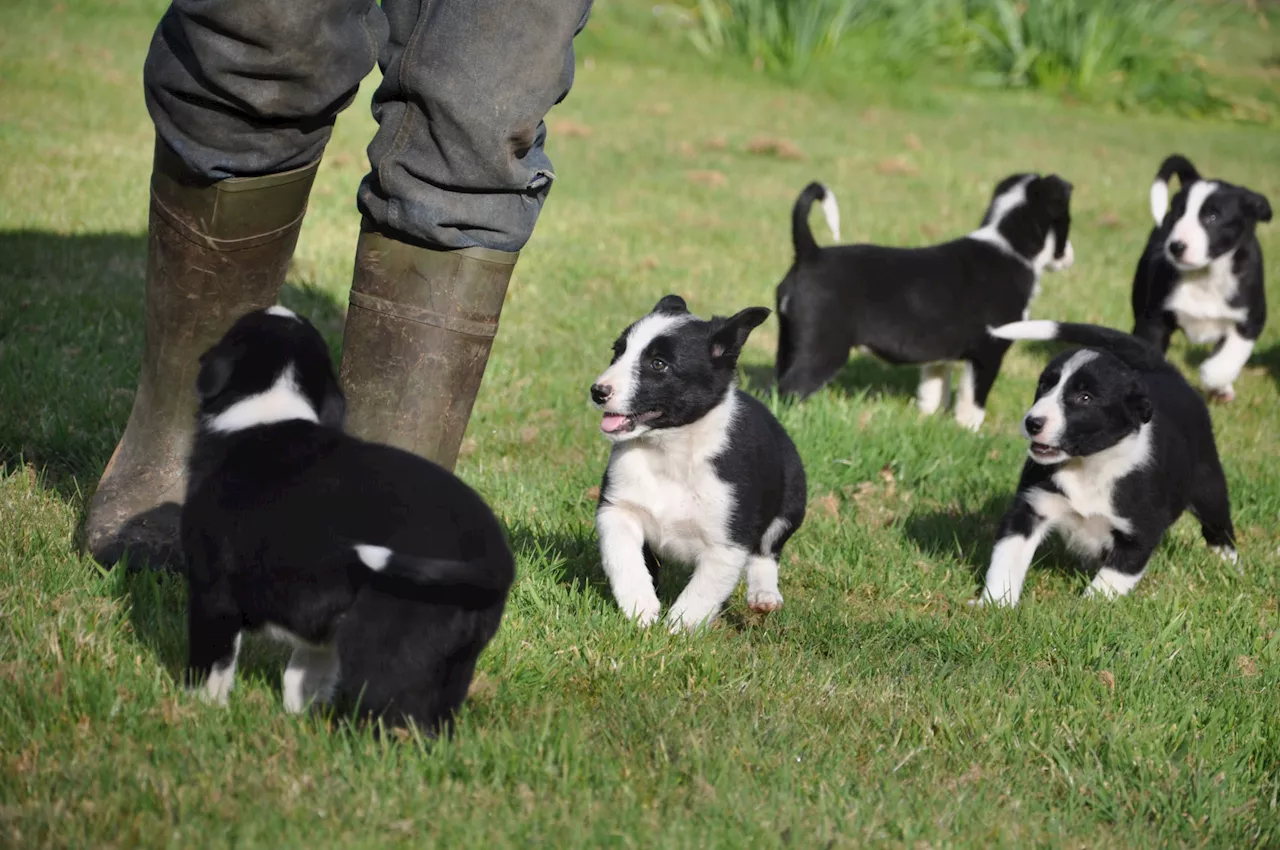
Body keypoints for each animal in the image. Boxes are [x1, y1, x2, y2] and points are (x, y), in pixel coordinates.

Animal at [179, 307, 514, 737]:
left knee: (394, 713)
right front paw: (298, 718)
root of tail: (492, 553)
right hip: (457, 659)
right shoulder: (319, 624)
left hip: (386, 642)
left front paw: (197, 713)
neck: (268, 406)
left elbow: (211, 666)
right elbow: (303, 676)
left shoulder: (211, 590)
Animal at [586, 296, 803, 629]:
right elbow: (623, 558)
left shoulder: (728, 543)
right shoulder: (618, 509)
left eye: (658, 364)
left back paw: (764, 594)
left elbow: (703, 590)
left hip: (790, 502)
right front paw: (641, 607)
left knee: (766, 551)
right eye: (617, 351)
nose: (598, 391)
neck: (668, 450)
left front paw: (678, 629)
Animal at [773, 174, 1075, 432]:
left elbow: (933, 392)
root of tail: (810, 253)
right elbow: (972, 403)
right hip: (824, 350)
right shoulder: (988, 353)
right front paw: (968, 433)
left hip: (790, 341)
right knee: (790, 388)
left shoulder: (939, 359)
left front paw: (929, 422)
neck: (1010, 246)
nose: (1071, 256)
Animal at [972, 317, 1233, 604]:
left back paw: (1228, 563)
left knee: (1218, 524)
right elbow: (1006, 559)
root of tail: (1167, 372)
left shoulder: (1140, 531)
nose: (1032, 423)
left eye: (1085, 398)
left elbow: (1110, 580)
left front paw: (1087, 608)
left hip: (1208, 482)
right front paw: (995, 603)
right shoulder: (1030, 508)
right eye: (1044, 386)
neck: (1089, 465)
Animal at [1131, 153, 1269, 401]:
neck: (1205, 277)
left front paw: (1213, 377)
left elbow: (1232, 354)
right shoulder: (1153, 318)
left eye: (1212, 217)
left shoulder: (1251, 318)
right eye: (1177, 214)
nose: (1176, 246)